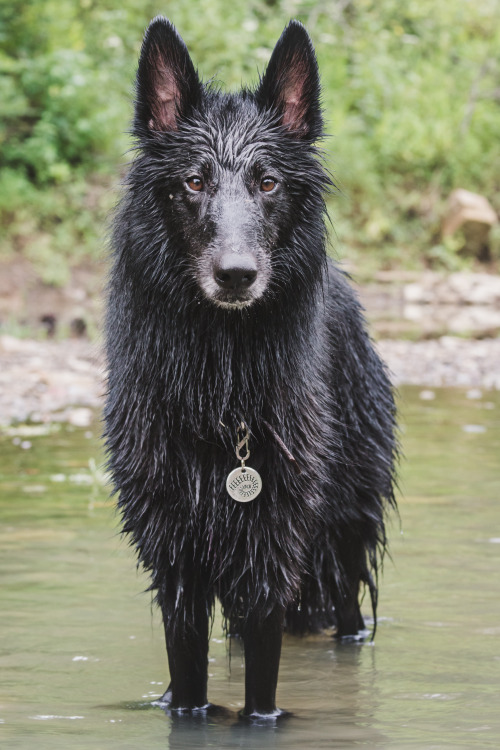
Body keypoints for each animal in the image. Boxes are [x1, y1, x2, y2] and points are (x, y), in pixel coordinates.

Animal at [105, 17, 398, 724]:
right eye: (194, 181)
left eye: (268, 183)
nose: (236, 274)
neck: (222, 382)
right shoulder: (176, 559)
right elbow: (189, 685)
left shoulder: (269, 552)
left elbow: (261, 697)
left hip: (342, 535)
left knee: (348, 617)